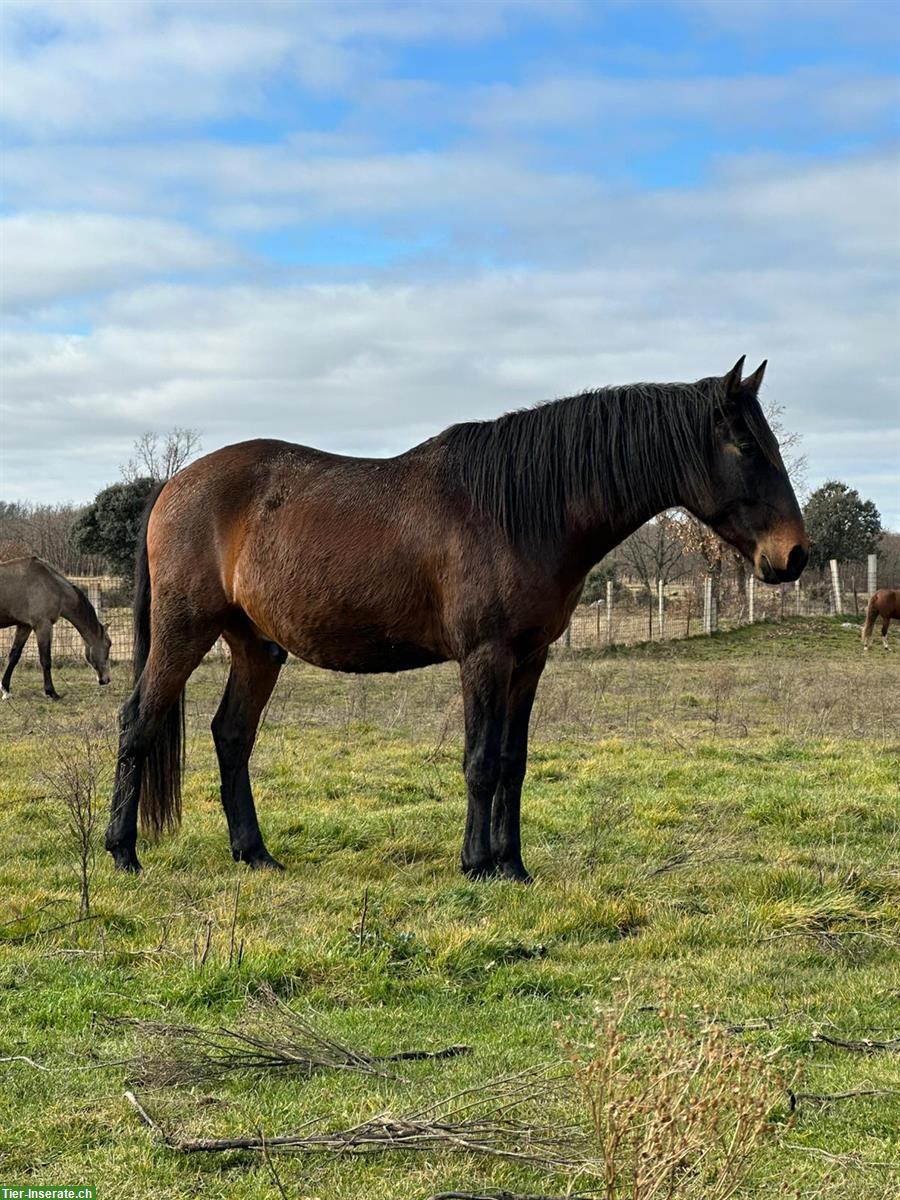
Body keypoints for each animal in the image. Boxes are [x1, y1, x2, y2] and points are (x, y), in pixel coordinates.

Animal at [0, 554, 112, 700]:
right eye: (109, 644)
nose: (106, 679)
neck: (54, 586)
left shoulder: (24, 626)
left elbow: (14, 656)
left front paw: (5, 689)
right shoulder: (43, 626)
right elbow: (46, 660)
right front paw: (51, 692)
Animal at [103, 357, 811, 883]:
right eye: (745, 445)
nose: (794, 555)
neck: (520, 509)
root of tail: (173, 486)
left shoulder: (529, 659)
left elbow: (512, 761)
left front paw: (513, 866)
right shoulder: (485, 656)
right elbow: (479, 760)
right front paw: (475, 864)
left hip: (256, 644)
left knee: (231, 735)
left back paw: (254, 854)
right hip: (184, 630)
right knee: (140, 721)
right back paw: (123, 852)